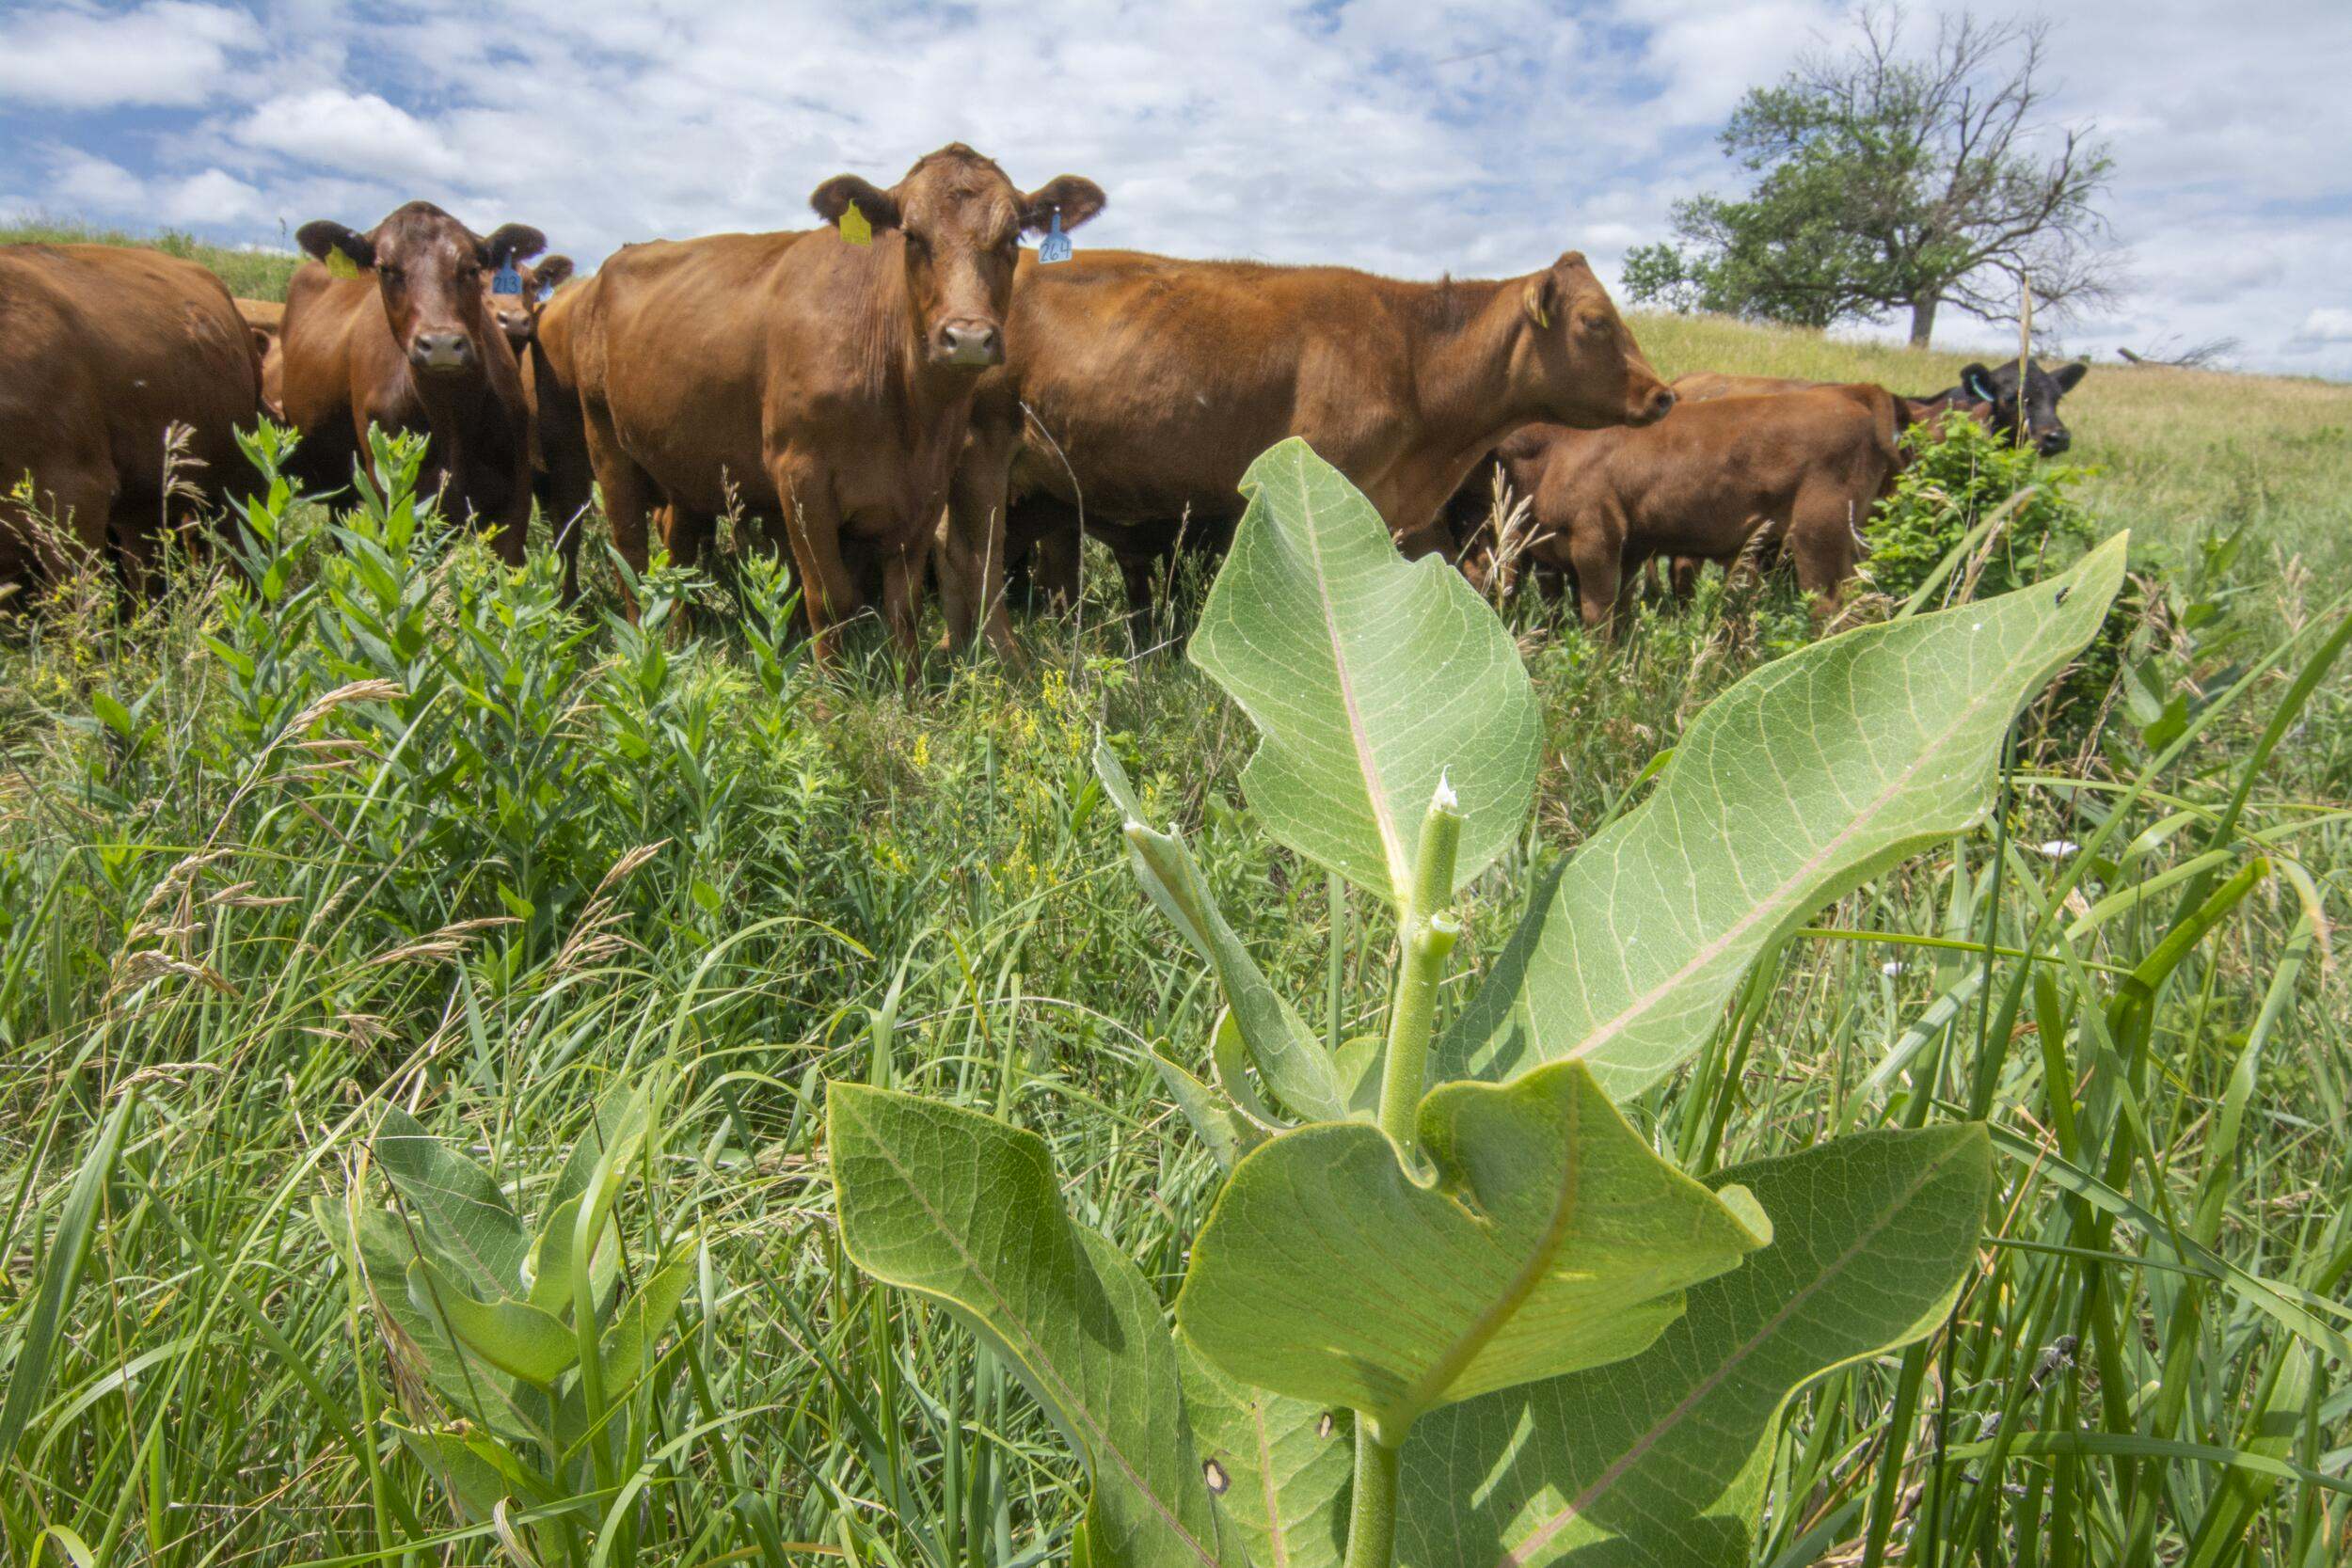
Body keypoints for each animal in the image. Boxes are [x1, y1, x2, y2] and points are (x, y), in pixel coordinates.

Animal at [276, 199, 546, 562]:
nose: (441, 343)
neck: (450, 412)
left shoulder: (514, 497)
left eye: (471, 268)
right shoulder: (398, 498)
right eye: (385, 268)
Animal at [576, 144, 1110, 667]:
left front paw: (910, 684)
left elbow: (904, 603)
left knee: (678, 549)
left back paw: (677, 637)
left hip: (686, 464)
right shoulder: (799, 478)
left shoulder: (928, 486)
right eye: (911, 236)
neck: (904, 413)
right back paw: (640, 644)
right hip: (608, 446)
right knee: (629, 551)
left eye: (1012, 237)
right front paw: (829, 690)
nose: (968, 337)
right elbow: (829, 597)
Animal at [1477, 385, 1900, 629]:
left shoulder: (1596, 542)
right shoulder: (1625, 551)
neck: (1552, 451)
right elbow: (1623, 617)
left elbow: (1599, 620)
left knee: (1829, 608)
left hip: (1818, 535)